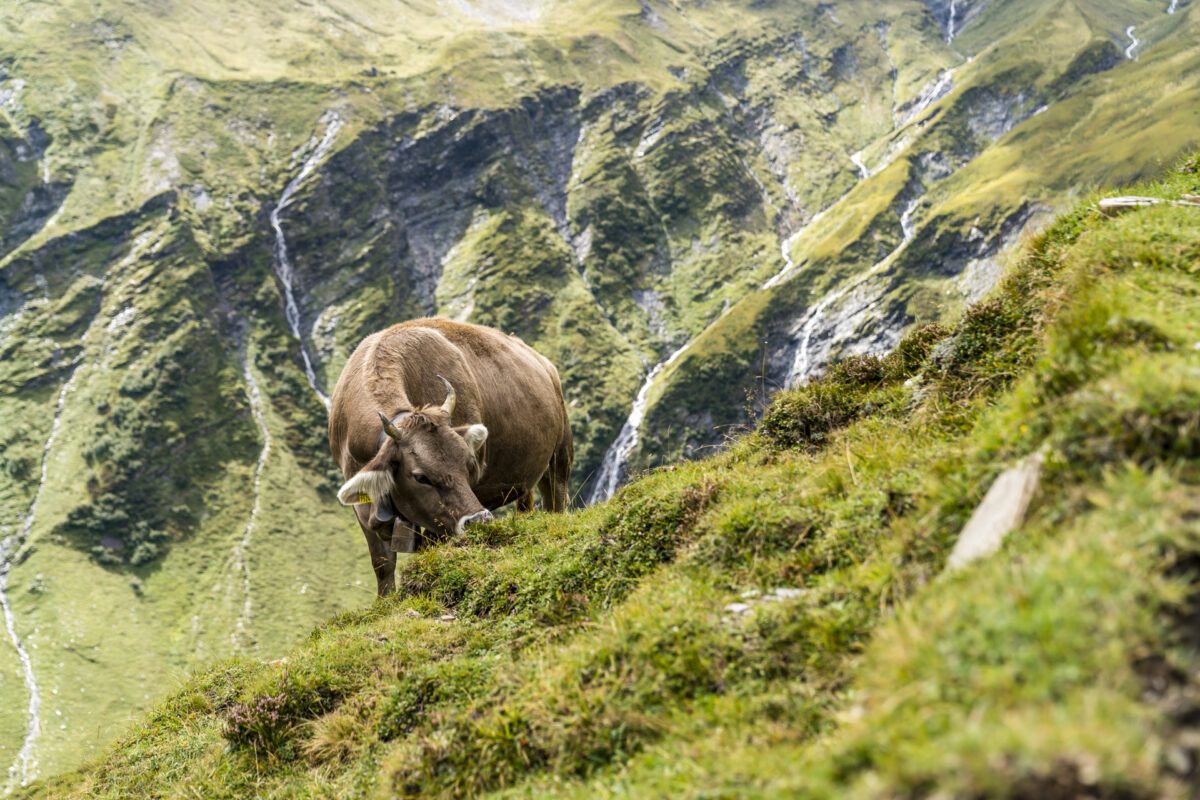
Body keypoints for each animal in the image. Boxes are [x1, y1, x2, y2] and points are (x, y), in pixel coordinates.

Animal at [328, 316, 571, 594]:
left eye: (467, 464)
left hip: (561, 457)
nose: (479, 520)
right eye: (420, 477)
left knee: (558, 501)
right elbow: (383, 564)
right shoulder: (362, 504)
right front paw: (385, 600)